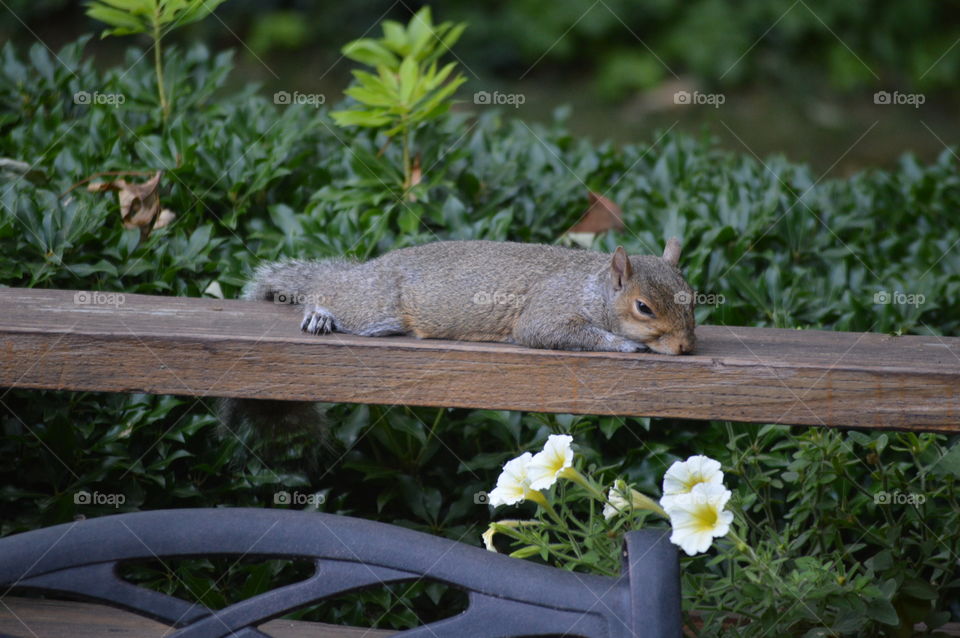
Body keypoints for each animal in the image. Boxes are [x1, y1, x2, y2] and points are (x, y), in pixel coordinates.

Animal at [246, 242, 696, 358]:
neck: (592, 287)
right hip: (375, 307)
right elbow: (545, 331)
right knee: (326, 292)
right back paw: (319, 314)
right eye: (643, 308)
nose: (686, 346)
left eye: (692, 298)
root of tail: (369, 269)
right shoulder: (547, 309)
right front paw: (627, 343)